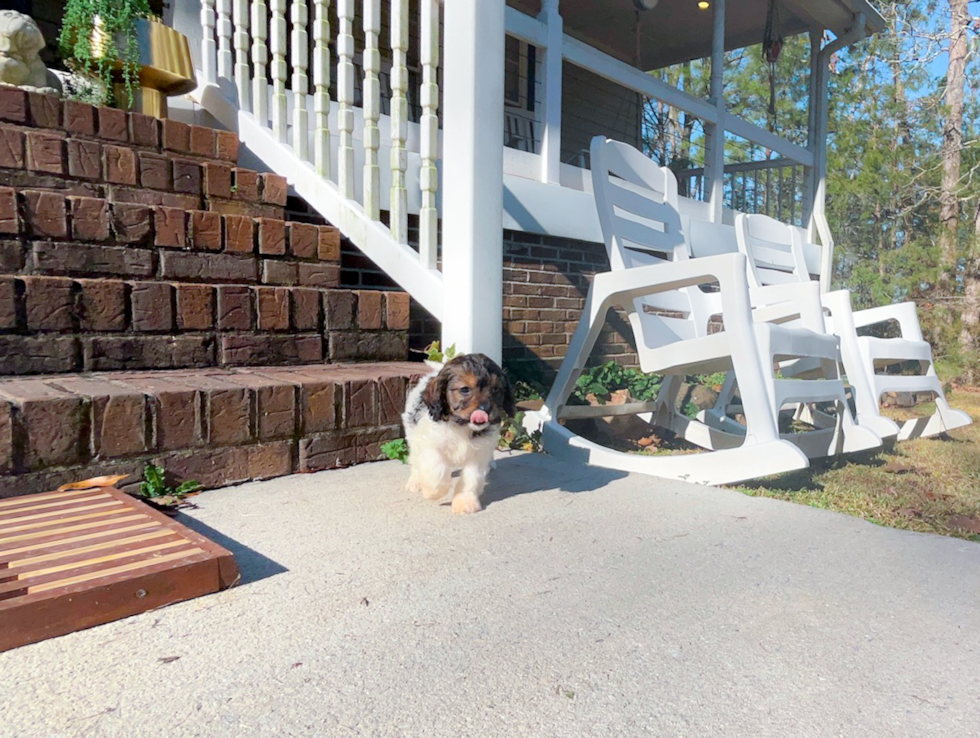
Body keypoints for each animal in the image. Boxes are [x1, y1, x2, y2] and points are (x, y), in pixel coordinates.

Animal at [402, 350, 516, 512]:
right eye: (464, 389)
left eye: (495, 390)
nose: (485, 409)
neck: (461, 425)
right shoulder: (430, 444)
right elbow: (436, 469)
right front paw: (434, 491)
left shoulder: (479, 453)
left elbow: (471, 478)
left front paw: (465, 501)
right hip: (412, 435)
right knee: (415, 460)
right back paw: (415, 481)